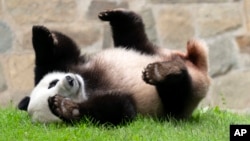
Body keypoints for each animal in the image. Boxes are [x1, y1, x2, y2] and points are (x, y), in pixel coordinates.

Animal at [17, 8, 210, 124]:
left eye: (52, 83)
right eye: (56, 92)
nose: (70, 80)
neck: (87, 85)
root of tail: (199, 68)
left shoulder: (71, 65)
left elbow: (61, 54)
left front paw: (41, 35)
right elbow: (121, 109)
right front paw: (65, 107)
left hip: (151, 51)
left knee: (133, 36)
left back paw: (117, 15)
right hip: (178, 103)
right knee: (176, 93)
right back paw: (162, 73)